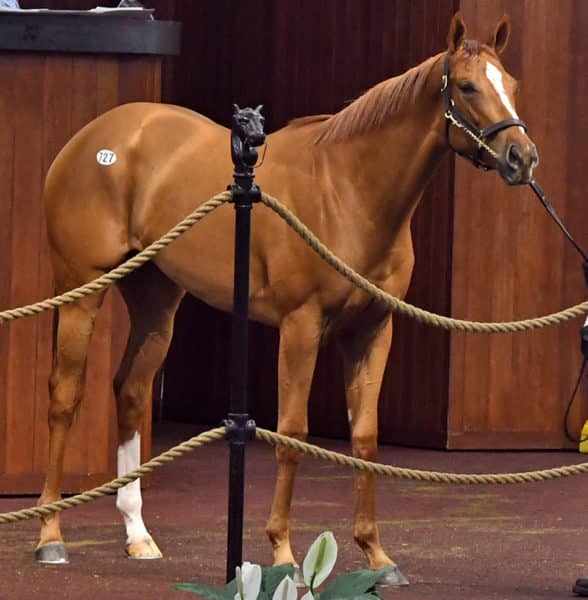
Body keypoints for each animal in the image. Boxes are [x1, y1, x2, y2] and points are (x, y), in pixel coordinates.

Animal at [36, 12, 536, 584]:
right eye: (469, 87)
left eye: (512, 85)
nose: (523, 157)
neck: (347, 190)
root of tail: (96, 137)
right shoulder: (302, 325)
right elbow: (293, 432)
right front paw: (283, 553)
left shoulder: (373, 330)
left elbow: (366, 437)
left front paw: (377, 556)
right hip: (81, 288)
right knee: (65, 397)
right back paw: (50, 535)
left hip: (155, 298)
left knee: (132, 392)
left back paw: (138, 535)